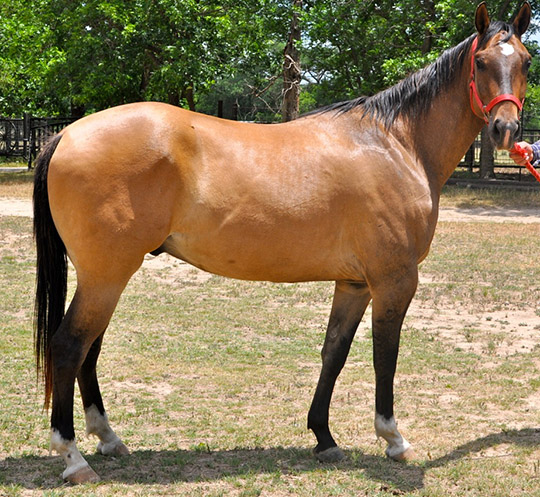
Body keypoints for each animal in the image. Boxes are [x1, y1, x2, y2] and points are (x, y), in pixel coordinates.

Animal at [32, 2, 532, 484]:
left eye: (526, 61)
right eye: (482, 62)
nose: (505, 129)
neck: (395, 144)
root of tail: (67, 133)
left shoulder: (354, 283)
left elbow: (334, 353)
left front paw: (324, 437)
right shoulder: (394, 280)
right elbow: (384, 356)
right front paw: (393, 439)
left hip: (106, 276)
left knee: (90, 349)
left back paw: (108, 438)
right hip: (106, 275)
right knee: (70, 347)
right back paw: (74, 458)